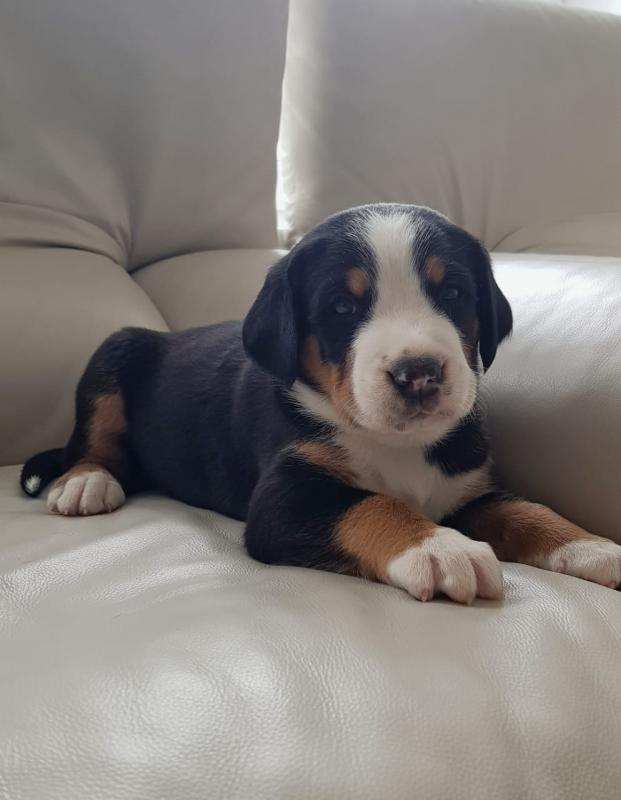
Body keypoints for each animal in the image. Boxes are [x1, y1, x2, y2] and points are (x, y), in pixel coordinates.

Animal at [20, 203, 620, 604]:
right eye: (341, 307)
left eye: (452, 294)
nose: (419, 374)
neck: (395, 443)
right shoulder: (283, 499)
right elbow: (370, 505)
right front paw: (439, 549)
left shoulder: (465, 490)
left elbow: (529, 512)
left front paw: (595, 548)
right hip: (117, 347)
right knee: (92, 443)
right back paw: (86, 482)